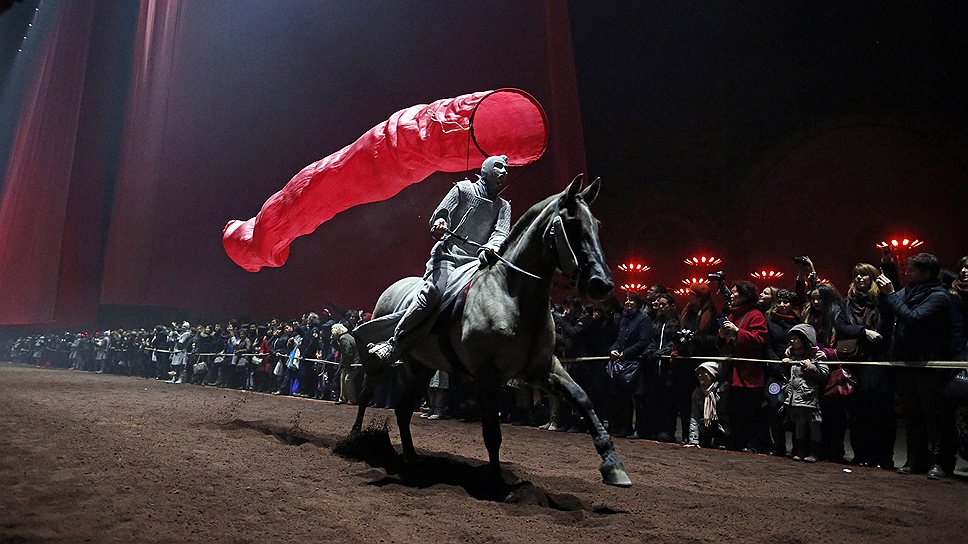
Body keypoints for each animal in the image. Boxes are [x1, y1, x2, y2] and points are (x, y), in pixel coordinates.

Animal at [352, 175, 632, 488]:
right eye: (572, 224)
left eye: (596, 225)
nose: (601, 283)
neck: (512, 295)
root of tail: (392, 288)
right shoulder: (487, 375)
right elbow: (492, 432)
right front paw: (496, 481)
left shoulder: (542, 368)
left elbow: (582, 398)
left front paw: (612, 464)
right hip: (382, 361)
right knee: (366, 394)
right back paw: (355, 438)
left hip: (421, 368)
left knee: (402, 410)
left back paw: (412, 459)